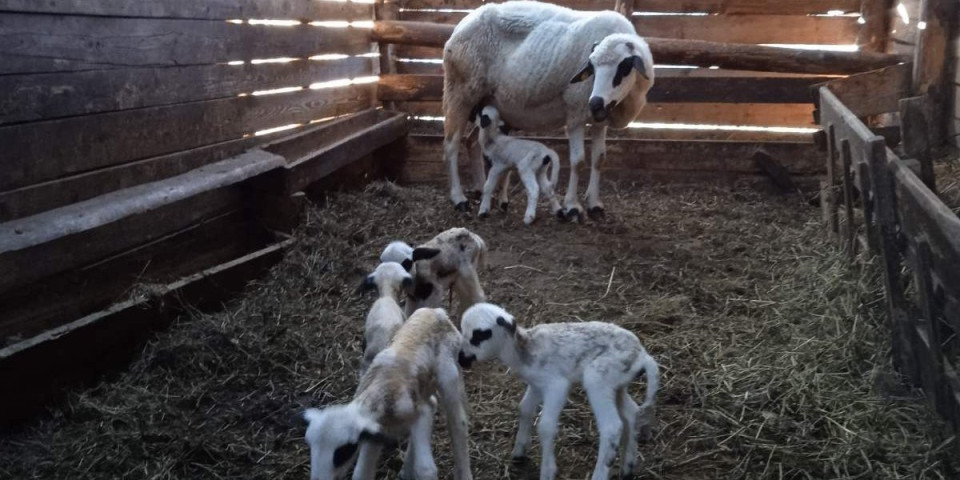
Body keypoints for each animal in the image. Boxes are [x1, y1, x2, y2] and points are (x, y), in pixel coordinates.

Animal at [304, 308, 472, 480]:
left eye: (344, 450)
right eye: (310, 444)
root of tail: (437, 312)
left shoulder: (417, 413)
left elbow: (426, 469)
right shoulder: (374, 433)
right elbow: (361, 474)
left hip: (449, 373)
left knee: (458, 423)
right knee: (432, 404)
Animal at [440, 0, 652, 222]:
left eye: (624, 67)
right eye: (591, 67)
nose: (595, 103)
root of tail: (463, 22)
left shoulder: (599, 122)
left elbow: (599, 160)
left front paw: (595, 205)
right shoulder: (575, 113)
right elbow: (578, 161)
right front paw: (573, 207)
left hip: (485, 104)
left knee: (472, 142)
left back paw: (482, 190)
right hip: (459, 92)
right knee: (451, 145)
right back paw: (459, 199)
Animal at [458, 304, 660, 480]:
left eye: (479, 335)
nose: (461, 359)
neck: (523, 351)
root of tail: (643, 356)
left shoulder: (556, 385)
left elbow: (546, 426)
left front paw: (548, 471)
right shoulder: (536, 384)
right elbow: (524, 409)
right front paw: (520, 451)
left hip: (599, 378)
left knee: (612, 427)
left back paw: (600, 474)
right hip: (617, 382)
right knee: (631, 412)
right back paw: (628, 467)